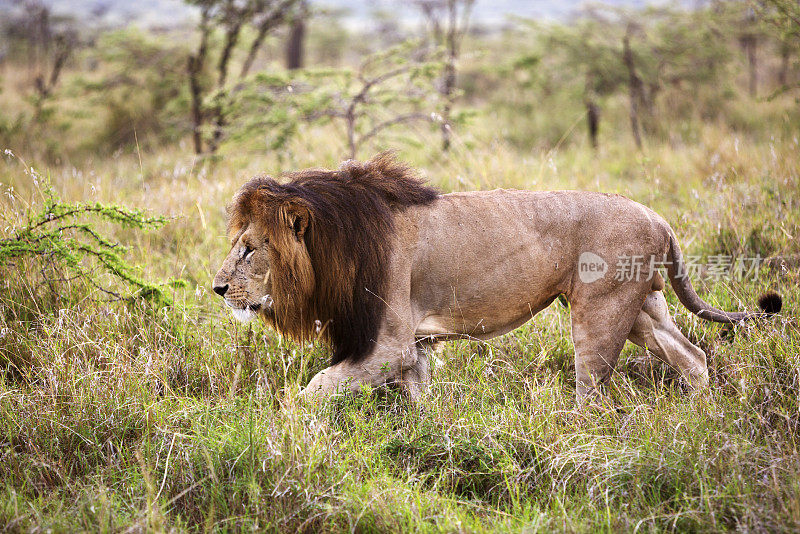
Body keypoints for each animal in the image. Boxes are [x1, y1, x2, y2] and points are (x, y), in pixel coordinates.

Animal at [212, 153, 780, 404]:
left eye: (250, 248)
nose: (218, 289)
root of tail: (659, 217)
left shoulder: (388, 344)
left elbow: (315, 388)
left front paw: (287, 425)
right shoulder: (412, 347)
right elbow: (417, 399)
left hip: (600, 311)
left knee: (593, 388)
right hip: (641, 307)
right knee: (693, 355)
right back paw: (701, 417)